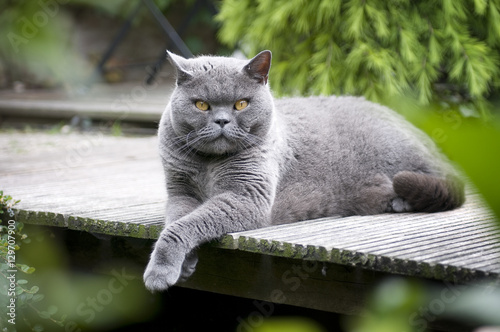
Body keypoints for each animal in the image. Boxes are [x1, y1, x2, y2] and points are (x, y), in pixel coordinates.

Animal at [142, 49, 464, 290]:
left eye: (241, 104)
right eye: (201, 105)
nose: (222, 121)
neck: (209, 163)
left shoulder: (247, 196)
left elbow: (183, 226)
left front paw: (159, 273)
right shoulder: (180, 190)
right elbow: (178, 220)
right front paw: (185, 264)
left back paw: (401, 201)